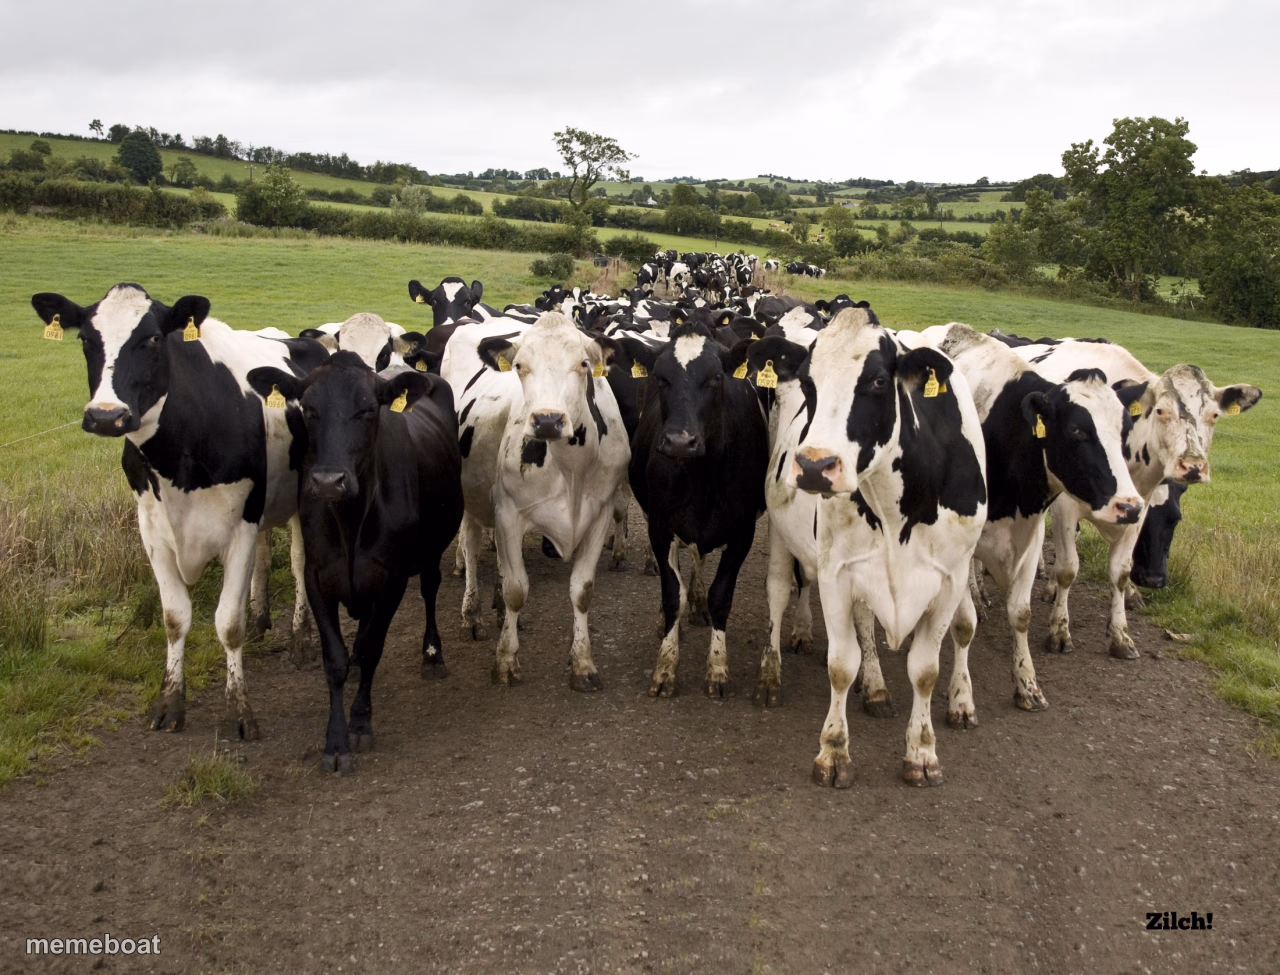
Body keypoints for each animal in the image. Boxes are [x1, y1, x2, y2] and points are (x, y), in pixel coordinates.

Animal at [31, 284, 329, 739]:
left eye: (154, 338)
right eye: (85, 339)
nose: (105, 416)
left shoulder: (239, 527)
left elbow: (228, 623)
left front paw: (238, 711)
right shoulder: (153, 532)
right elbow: (175, 617)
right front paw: (170, 702)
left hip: (298, 501)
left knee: (298, 563)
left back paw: (300, 638)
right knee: (263, 559)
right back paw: (261, 621)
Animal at [446, 313, 630, 688]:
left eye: (583, 363)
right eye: (519, 366)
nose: (547, 420)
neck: (571, 468)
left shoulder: (600, 514)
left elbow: (582, 591)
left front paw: (583, 663)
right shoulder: (508, 514)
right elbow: (516, 589)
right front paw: (506, 660)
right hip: (471, 496)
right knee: (470, 544)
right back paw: (471, 614)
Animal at [617, 309, 769, 698]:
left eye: (716, 378)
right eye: (661, 378)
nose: (679, 441)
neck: (702, 480)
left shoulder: (743, 530)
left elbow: (721, 596)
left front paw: (717, 669)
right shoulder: (660, 525)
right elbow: (673, 595)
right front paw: (665, 668)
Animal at [744, 307, 988, 787]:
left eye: (877, 381)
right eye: (808, 382)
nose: (815, 466)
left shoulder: (950, 579)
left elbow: (926, 669)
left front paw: (923, 752)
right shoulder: (836, 572)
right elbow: (841, 664)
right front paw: (833, 752)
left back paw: (875, 687)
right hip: (783, 533)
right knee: (778, 592)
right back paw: (770, 675)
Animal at [1011, 339, 1261, 657]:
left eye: (1214, 415)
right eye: (1161, 411)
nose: (1193, 466)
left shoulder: (1136, 507)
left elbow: (1120, 571)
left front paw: (1120, 636)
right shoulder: (1066, 508)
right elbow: (1069, 568)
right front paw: (1059, 631)